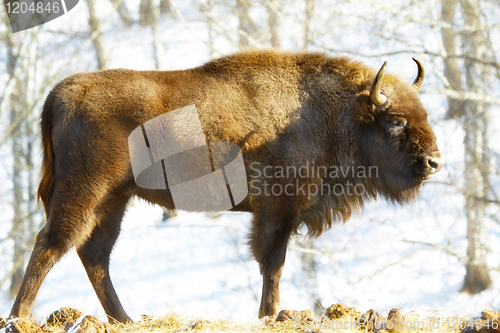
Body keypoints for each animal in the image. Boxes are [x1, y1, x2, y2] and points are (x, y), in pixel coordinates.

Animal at [9, 50, 442, 322]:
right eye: (396, 121)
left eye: (423, 115)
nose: (435, 162)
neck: (337, 114)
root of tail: (60, 94)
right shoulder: (277, 211)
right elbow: (273, 264)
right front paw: (270, 315)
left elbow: (271, 265)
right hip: (83, 194)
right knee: (51, 244)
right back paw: (19, 316)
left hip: (114, 201)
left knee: (93, 254)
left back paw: (125, 319)